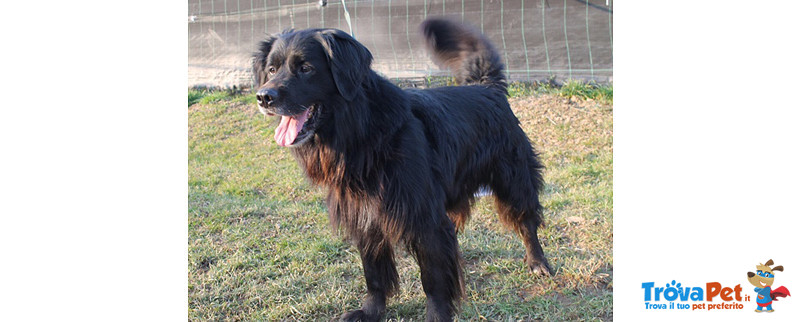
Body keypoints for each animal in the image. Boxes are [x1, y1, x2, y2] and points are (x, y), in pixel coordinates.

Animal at [253, 18, 552, 322]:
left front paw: (437, 315)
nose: (264, 97)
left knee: (527, 222)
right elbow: (374, 273)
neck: (361, 132)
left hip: (513, 180)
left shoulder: (424, 218)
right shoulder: (365, 216)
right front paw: (371, 311)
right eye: (271, 69)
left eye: (306, 68)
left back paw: (538, 262)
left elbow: (433, 278)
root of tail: (487, 87)